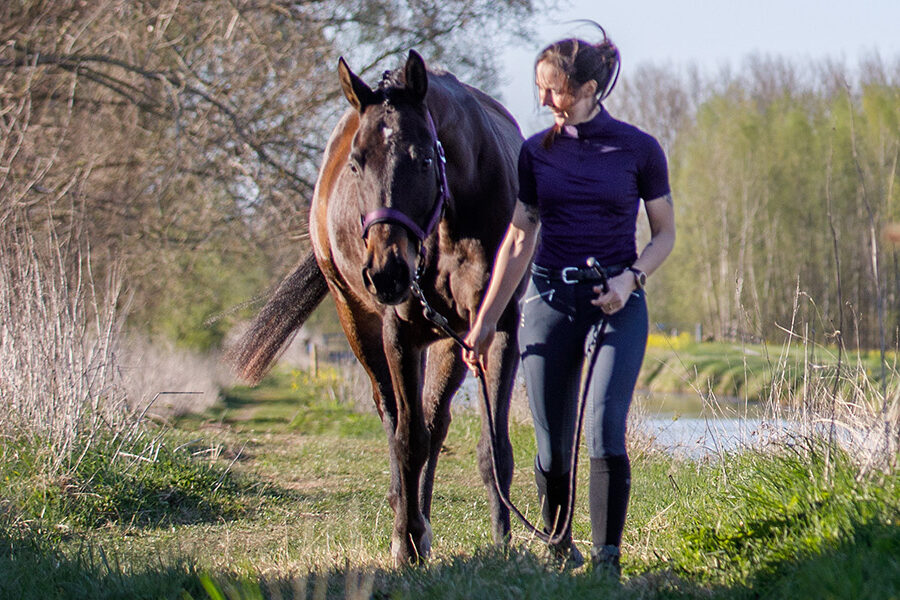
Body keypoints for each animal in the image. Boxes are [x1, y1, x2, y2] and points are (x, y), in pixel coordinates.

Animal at [232, 50, 524, 565]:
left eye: (424, 158)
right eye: (356, 163)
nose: (386, 272)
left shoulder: (497, 326)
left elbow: (492, 447)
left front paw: (507, 542)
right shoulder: (400, 333)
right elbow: (407, 440)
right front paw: (405, 542)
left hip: (448, 340)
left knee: (435, 420)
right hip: (359, 323)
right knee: (394, 415)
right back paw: (407, 519)